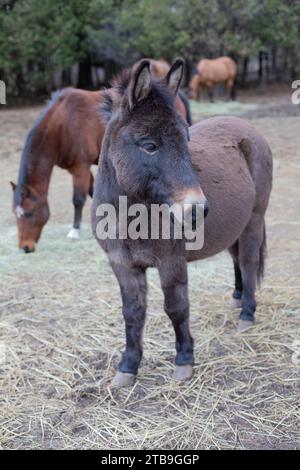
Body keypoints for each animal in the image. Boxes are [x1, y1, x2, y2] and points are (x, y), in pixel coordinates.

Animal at [11, 86, 105, 252]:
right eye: (15, 214)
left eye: (30, 213)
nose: (25, 248)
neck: (64, 123)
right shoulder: (79, 169)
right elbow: (93, 192)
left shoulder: (81, 168)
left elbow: (78, 199)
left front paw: (75, 231)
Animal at [92, 58, 274, 386]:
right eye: (149, 145)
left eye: (186, 139)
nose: (197, 209)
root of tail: (246, 126)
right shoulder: (122, 264)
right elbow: (132, 313)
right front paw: (128, 367)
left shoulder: (171, 262)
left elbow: (176, 309)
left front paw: (184, 361)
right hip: (236, 226)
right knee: (237, 259)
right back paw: (238, 298)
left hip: (254, 220)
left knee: (249, 261)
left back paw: (247, 315)